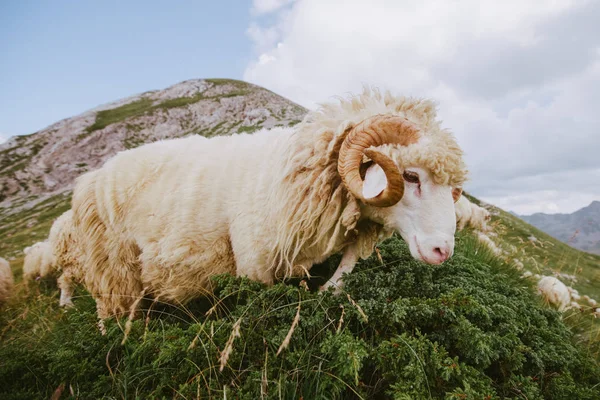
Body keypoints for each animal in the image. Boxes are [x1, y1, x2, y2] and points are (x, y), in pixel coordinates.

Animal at [71, 88, 468, 322]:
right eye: (412, 176)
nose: (443, 251)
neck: (293, 170)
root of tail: (94, 177)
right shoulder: (254, 265)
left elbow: (346, 265)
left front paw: (329, 292)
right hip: (114, 271)